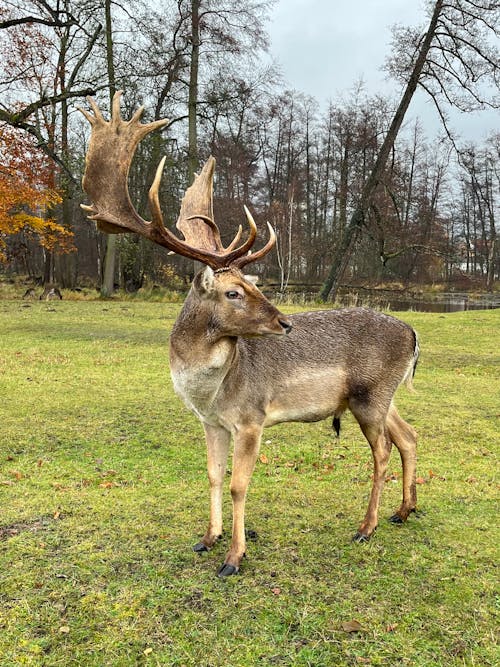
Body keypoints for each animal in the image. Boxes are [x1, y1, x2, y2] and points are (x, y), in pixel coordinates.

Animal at [80, 92, 420, 580]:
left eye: (253, 284)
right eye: (234, 291)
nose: (285, 323)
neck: (210, 390)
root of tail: (413, 334)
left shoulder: (252, 418)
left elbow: (240, 484)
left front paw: (234, 558)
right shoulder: (210, 422)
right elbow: (212, 475)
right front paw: (207, 538)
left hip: (371, 396)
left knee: (384, 451)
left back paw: (366, 526)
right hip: (380, 396)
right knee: (409, 435)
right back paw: (404, 511)